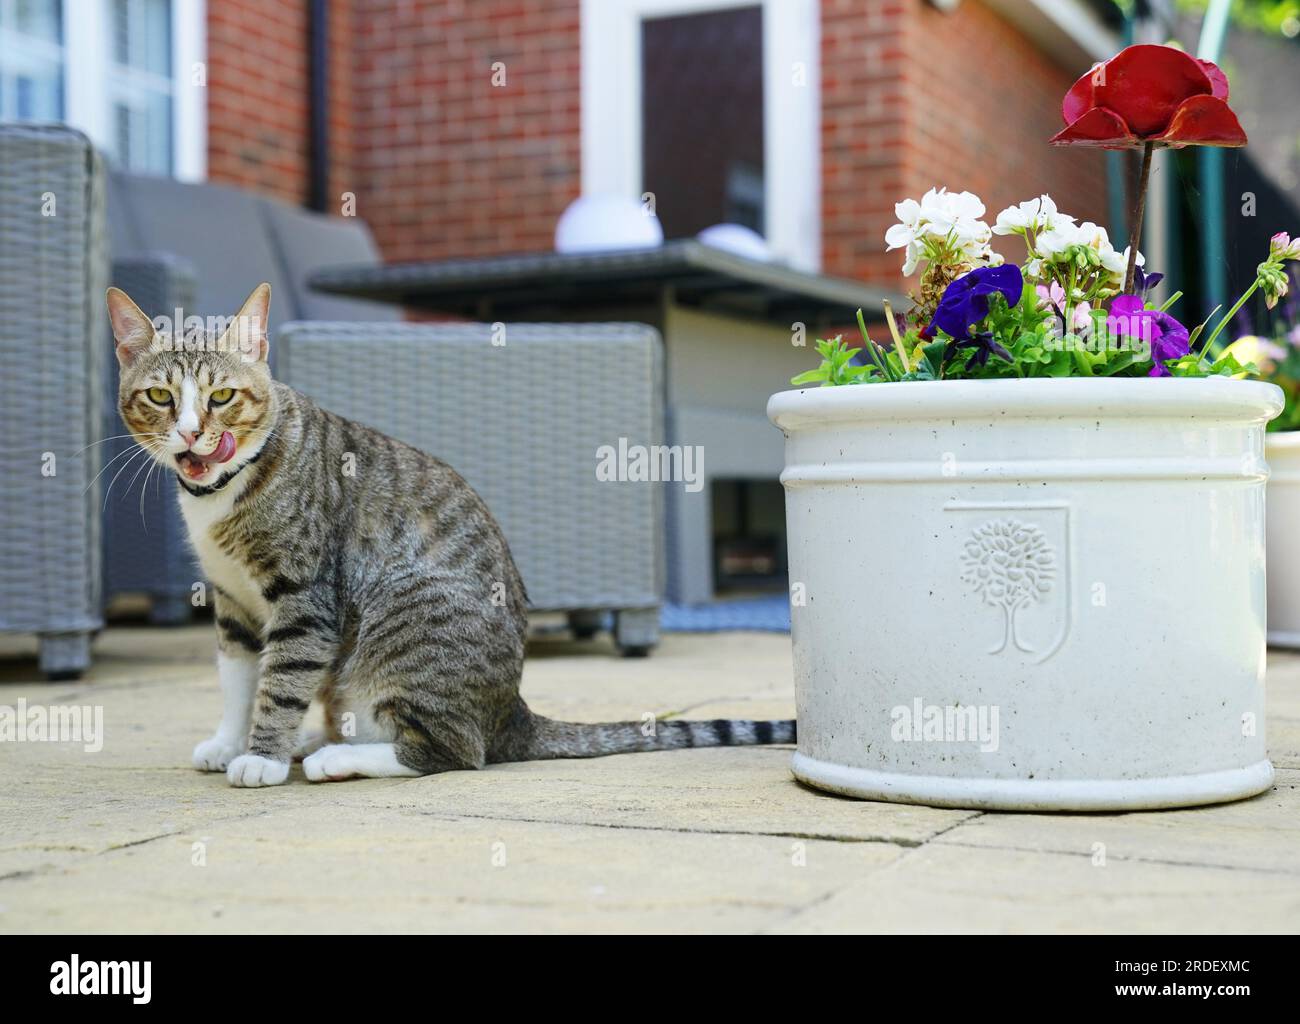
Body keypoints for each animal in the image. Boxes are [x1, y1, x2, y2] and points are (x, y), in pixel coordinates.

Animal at [106, 284, 790, 790]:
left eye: (222, 395)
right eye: (160, 396)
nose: (191, 433)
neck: (221, 494)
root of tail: (510, 711)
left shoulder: (303, 596)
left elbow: (282, 678)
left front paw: (262, 756)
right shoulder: (231, 599)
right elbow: (237, 677)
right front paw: (228, 741)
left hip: (406, 619)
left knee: (452, 750)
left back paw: (334, 756)